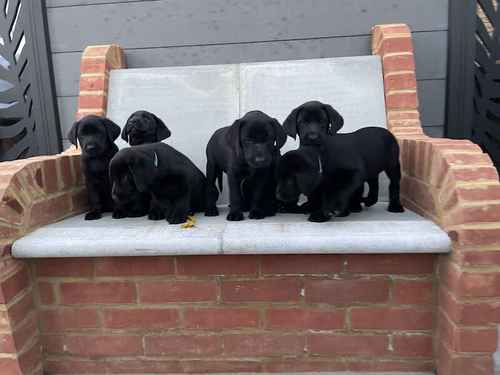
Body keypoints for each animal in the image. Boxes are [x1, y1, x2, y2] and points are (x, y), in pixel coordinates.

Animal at [276, 128, 404, 223]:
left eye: (289, 181)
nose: (278, 196)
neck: (322, 157)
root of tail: (387, 132)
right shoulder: (322, 182)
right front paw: (315, 210)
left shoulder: (353, 174)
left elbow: (337, 191)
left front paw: (330, 210)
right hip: (372, 168)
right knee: (373, 182)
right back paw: (370, 200)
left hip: (392, 165)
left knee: (394, 184)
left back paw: (395, 206)